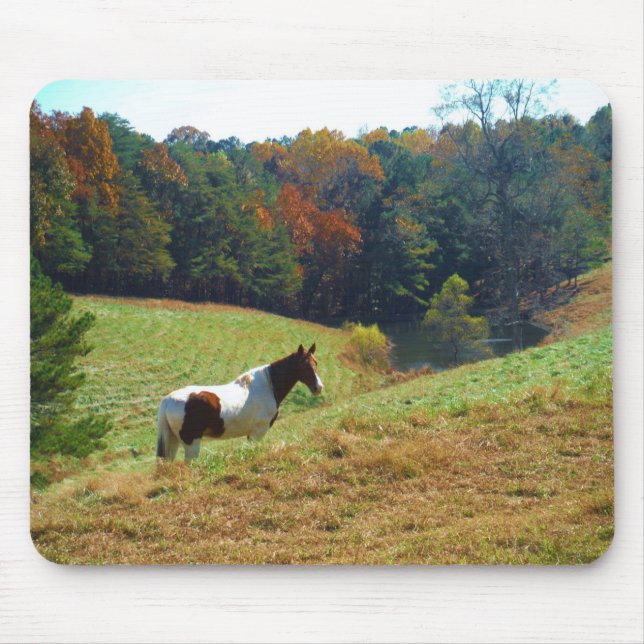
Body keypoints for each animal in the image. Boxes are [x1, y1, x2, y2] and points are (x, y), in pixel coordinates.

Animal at [156, 343, 323, 461]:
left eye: (315, 362)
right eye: (303, 365)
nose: (318, 387)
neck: (267, 386)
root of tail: (168, 399)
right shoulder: (258, 433)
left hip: (173, 441)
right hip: (191, 443)